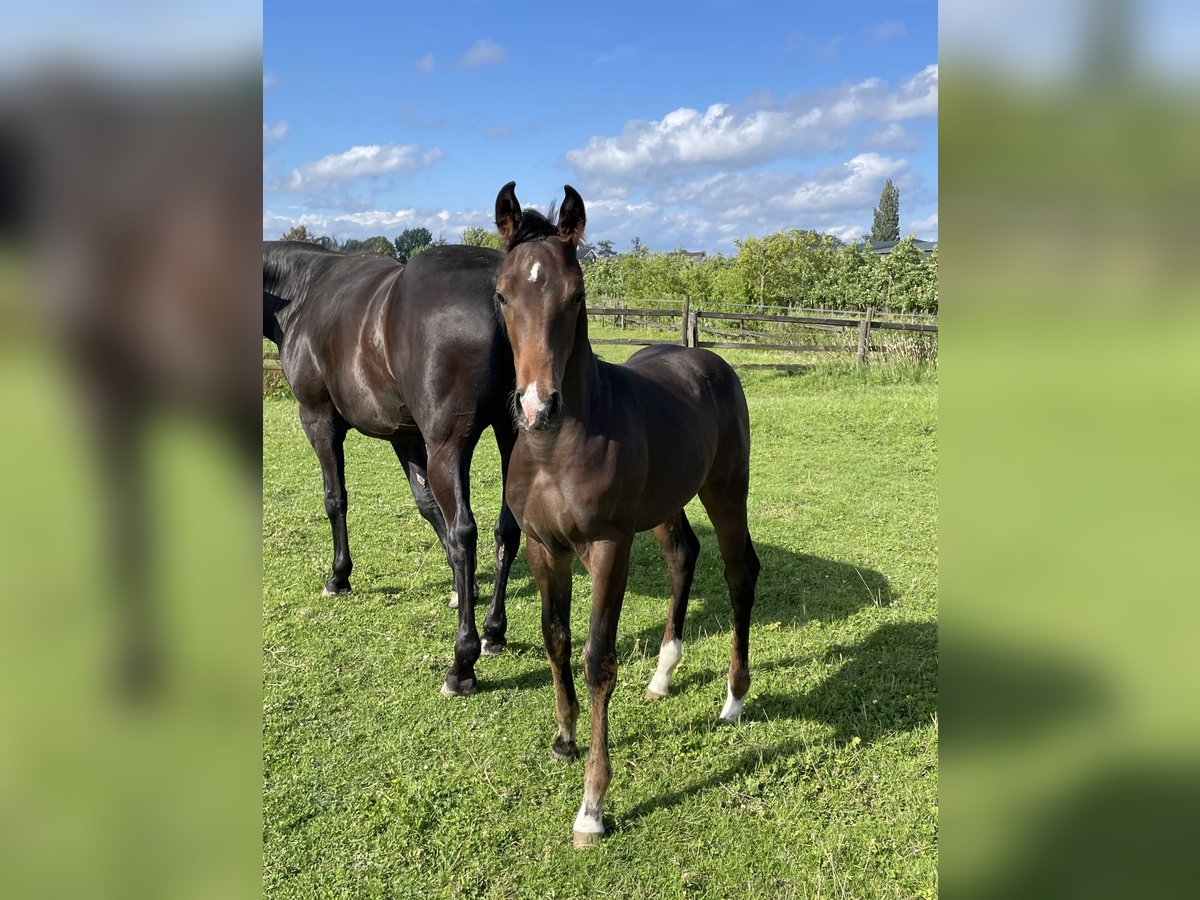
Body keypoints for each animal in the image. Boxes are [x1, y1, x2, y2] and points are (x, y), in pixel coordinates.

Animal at [262, 244, 520, 696]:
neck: (302, 292)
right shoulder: (406, 436)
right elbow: (428, 507)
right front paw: (462, 590)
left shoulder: (319, 420)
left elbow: (335, 499)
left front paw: (339, 577)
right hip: (513, 433)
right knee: (506, 528)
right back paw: (493, 631)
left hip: (450, 447)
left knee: (465, 532)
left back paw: (462, 663)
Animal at [494, 184, 758, 854]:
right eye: (502, 294)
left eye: (576, 294)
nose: (536, 406)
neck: (556, 448)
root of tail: (711, 363)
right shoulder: (543, 546)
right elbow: (555, 637)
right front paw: (563, 739)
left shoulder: (607, 547)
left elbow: (596, 659)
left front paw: (592, 806)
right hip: (665, 505)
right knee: (683, 554)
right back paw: (664, 675)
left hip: (726, 490)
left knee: (740, 572)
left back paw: (733, 699)